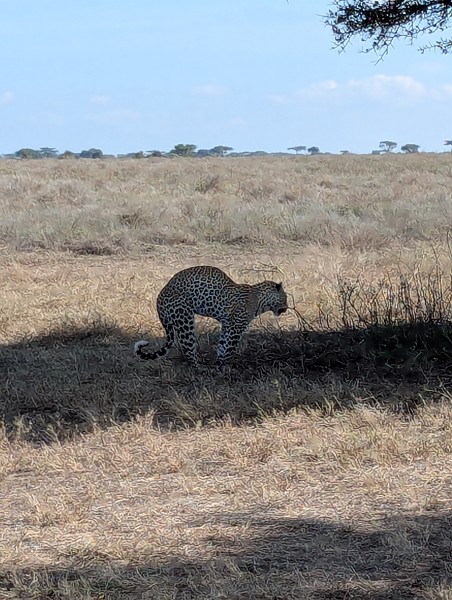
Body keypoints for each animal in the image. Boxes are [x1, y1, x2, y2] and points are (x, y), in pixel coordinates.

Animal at [134, 265, 288, 366]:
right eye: (285, 298)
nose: (286, 308)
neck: (260, 300)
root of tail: (159, 298)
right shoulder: (236, 327)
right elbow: (230, 347)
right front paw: (224, 367)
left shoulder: (228, 325)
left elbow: (223, 345)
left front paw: (219, 363)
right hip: (184, 319)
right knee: (189, 350)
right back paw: (200, 369)